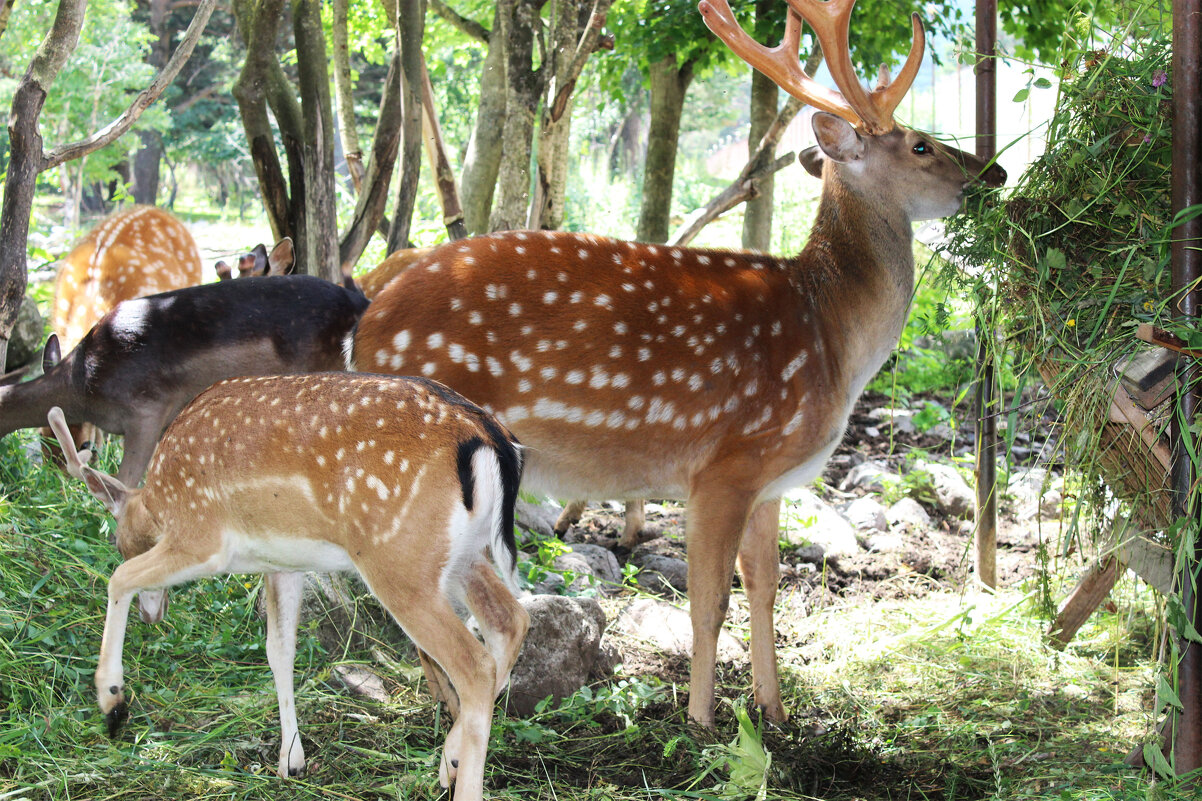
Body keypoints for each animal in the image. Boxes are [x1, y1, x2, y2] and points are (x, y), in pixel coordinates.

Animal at [46, 368, 526, 793]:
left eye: (118, 541)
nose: (153, 616)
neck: (160, 503)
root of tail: (491, 439)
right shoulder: (282, 563)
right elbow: (279, 651)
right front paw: (290, 760)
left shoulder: (201, 538)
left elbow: (119, 578)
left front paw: (112, 702)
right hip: (462, 556)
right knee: (511, 620)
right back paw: (450, 761)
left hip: (398, 560)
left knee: (475, 664)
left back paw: (457, 775)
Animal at [350, 0, 1009, 721]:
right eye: (920, 144)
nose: (995, 173)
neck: (833, 336)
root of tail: (366, 313)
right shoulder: (725, 463)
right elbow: (709, 601)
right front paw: (703, 718)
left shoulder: (770, 477)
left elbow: (766, 587)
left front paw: (774, 712)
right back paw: (453, 705)